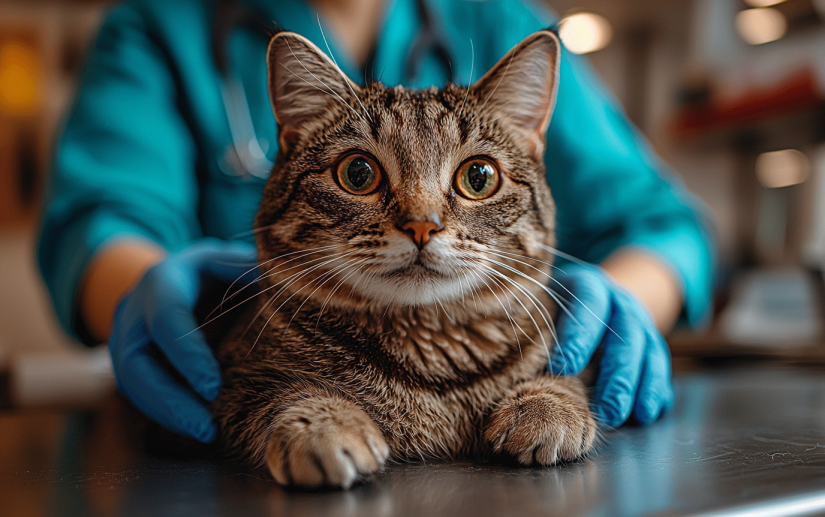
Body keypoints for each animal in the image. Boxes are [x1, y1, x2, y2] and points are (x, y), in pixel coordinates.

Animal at [209, 28, 596, 488]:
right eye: (358, 173)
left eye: (478, 177)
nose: (422, 225)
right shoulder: (238, 380)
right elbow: (284, 392)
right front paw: (325, 426)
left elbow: (566, 374)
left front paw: (546, 405)